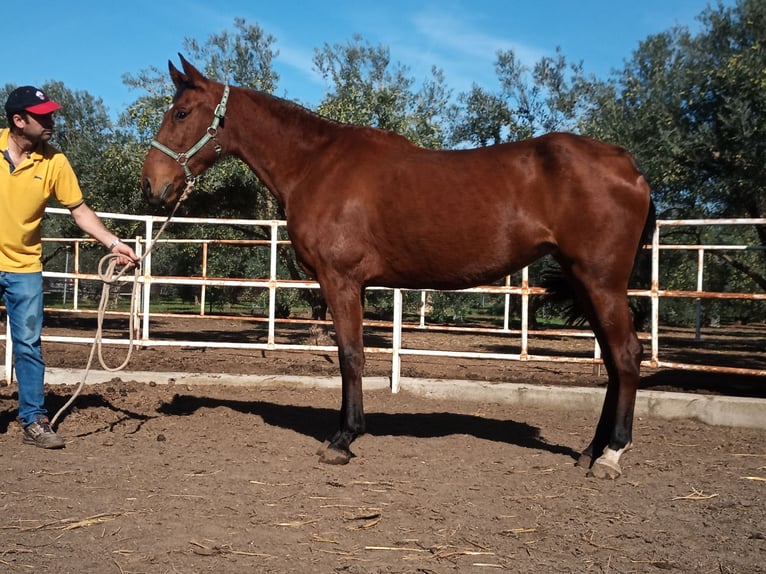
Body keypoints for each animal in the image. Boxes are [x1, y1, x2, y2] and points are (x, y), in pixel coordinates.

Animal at [141, 56, 656, 482]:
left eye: (181, 113)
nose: (152, 185)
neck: (315, 164)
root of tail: (626, 164)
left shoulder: (340, 279)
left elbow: (351, 356)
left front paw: (343, 439)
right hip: (585, 281)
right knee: (614, 363)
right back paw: (591, 451)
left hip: (601, 281)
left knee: (627, 355)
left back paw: (612, 455)